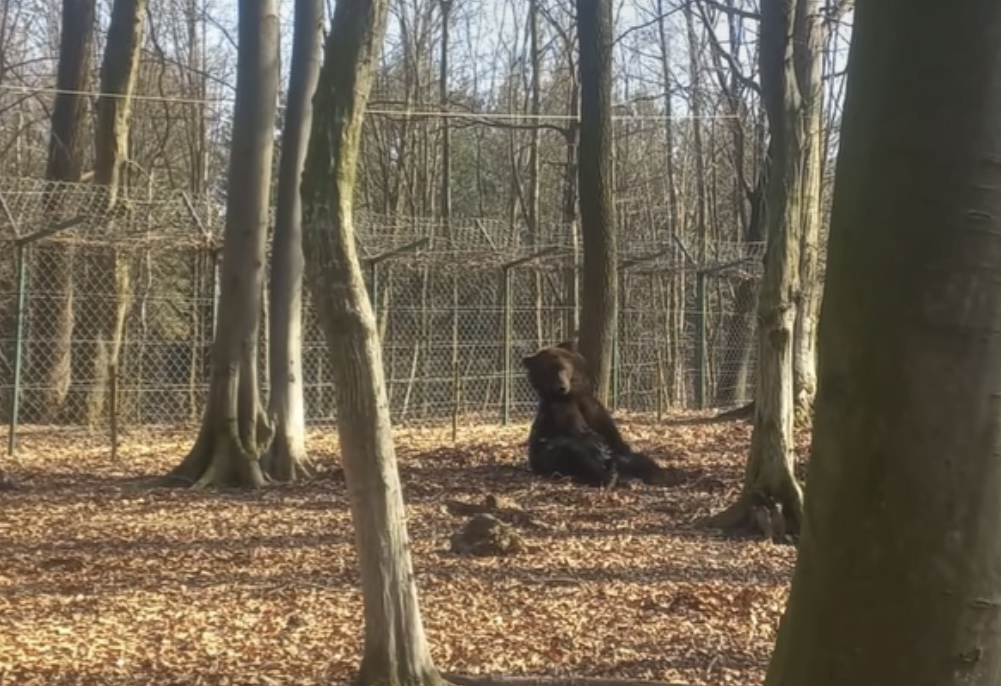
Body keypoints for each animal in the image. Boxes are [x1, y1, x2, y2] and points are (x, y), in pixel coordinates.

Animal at [520, 340, 668, 484]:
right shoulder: (560, 411)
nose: (561, 387)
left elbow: (613, 438)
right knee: (575, 455)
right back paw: (612, 476)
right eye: (548, 371)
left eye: (563, 368)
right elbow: (579, 436)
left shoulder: (590, 407)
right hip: (549, 458)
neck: (572, 395)